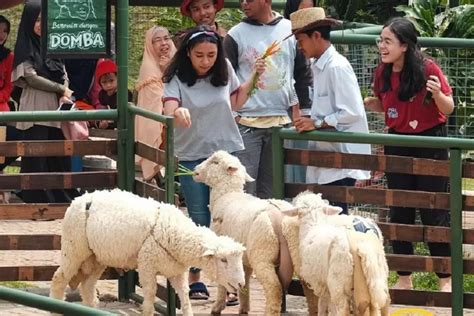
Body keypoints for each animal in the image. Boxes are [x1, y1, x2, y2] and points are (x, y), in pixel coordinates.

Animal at [50, 189, 246, 314]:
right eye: (223, 260)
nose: (241, 284)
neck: (175, 233)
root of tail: (80, 198)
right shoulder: (147, 265)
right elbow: (150, 295)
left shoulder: (176, 271)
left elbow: (184, 297)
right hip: (73, 248)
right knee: (59, 279)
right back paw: (55, 308)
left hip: (96, 257)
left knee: (88, 287)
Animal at [193, 151, 318, 316]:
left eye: (215, 162)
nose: (195, 170)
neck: (227, 194)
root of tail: (282, 219)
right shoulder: (242, 257)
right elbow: (243, 279)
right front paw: (244, 308)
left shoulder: (223, 252)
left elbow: (223, 280)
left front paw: (217, 307)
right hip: (298, 253)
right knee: (310, 288)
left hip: (262, 255)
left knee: (274, 288)